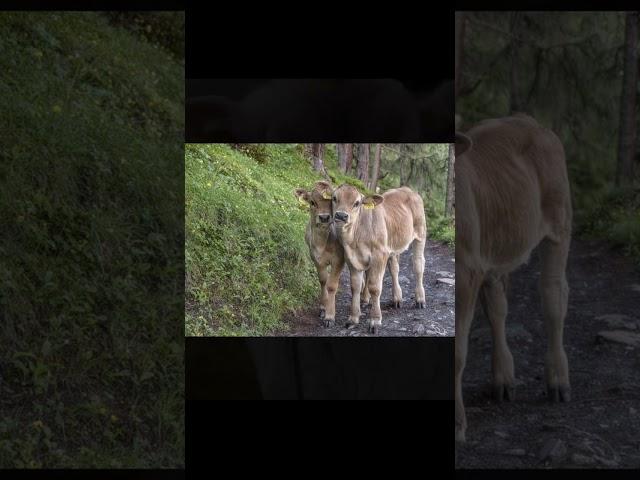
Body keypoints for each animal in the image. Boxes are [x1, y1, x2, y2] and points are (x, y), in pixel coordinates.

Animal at [332, 184, 428, 334]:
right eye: (334, 198)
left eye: (357, 203)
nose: (341, 215)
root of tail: (408, 189)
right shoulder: (351, 258)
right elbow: (355, 287)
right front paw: (353, 319)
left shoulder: (379, 255)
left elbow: (375, 287)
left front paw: (375, 320)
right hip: (392, 247)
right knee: (394, 269)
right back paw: (397, 299)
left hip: (420, 234)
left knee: (418, 266)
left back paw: (420, 300)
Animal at [452, 115, 572, 442]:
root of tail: (531, 122)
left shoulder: (466, 271)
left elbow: (459, 351)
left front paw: (457, 424)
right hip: (494, 248)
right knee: (497, 307)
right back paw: (503, 378)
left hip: (560, 224)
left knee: (553, 295)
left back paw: (558, 380)